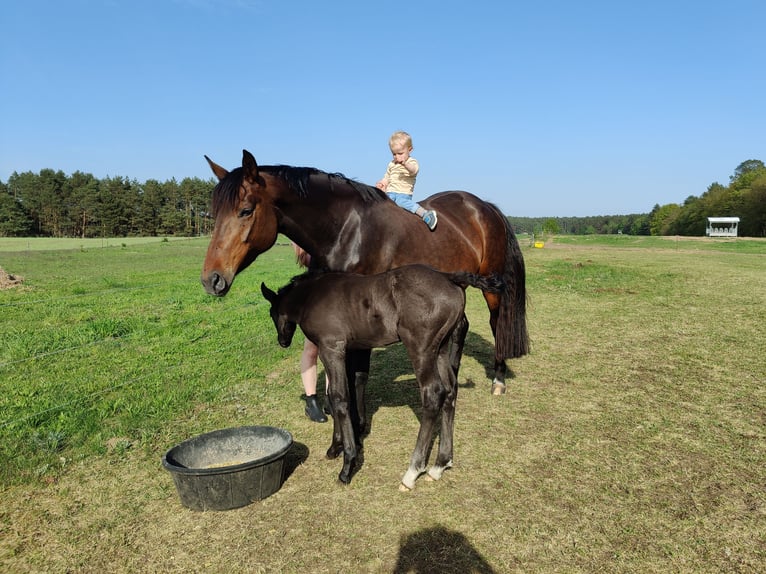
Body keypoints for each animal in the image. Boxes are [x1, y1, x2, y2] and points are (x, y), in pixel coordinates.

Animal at [201, 150, 532, 396]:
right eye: (214, 213)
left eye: (245, 210)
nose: (211, 279)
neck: (346, 228)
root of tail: (484, 206)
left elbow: (357, 376)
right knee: (461, 327)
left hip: (491, 287)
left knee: (496, 323)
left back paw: (498, 380)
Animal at [260, 264, 508, 490]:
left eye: (272, 313)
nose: (283, 341)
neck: (312, 295)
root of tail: (450, 277)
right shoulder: (348, 349)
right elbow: (340, 393)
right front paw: (336, 447)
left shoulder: (331, 348)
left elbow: (339, 397)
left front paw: (348, 464)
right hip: (442, 347)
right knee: (450, 391)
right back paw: (440, 465)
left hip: (421, 348)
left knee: (433, 393)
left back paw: (412, 472)